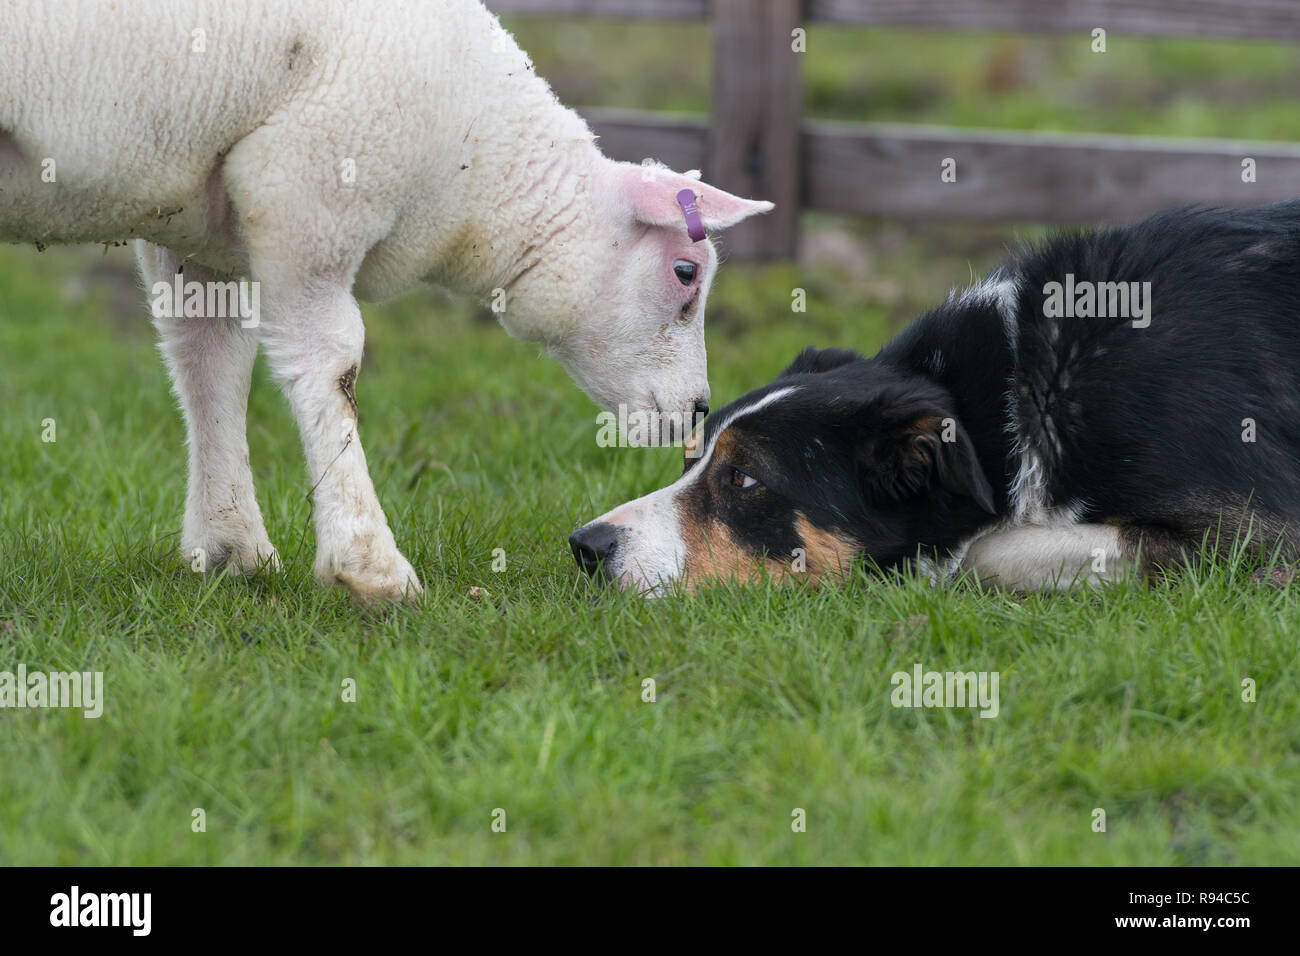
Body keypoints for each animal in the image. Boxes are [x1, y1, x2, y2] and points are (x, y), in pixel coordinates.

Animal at [0, 0, 769, 598]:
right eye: (685, 273)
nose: (697, 411)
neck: (472, 164)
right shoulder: (306, 185)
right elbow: (330, 366)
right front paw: (368, 566)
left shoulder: (194, 220)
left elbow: (208, 363)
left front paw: (231, 546)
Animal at [574, 200, 1300, 590]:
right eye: (689, 460)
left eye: (744, 481)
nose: (587, 546)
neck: (1016, 399)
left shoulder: (1259, 539)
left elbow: (985, 551)